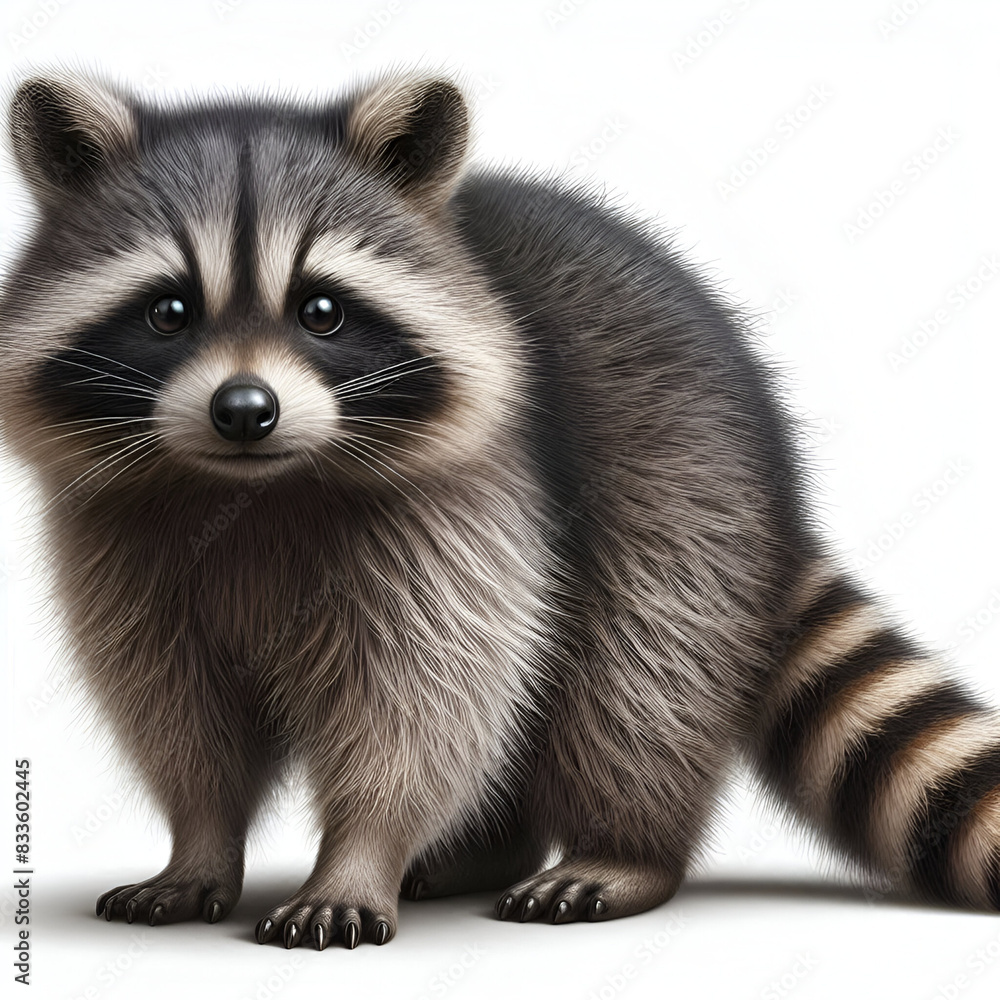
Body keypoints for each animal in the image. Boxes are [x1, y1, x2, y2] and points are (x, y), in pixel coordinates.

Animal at [2, 68, 999, 952]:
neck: (255, 488)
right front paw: (199, 844)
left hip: (682, 490)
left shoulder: (467, 508)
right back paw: (488, 850)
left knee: (638, 681)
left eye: (321, 310)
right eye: (168, 311)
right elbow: (178, 711)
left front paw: (358, 856)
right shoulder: (119, 537)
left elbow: (424, 699)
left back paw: (624, 851)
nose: (245, 410)